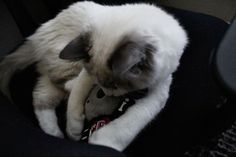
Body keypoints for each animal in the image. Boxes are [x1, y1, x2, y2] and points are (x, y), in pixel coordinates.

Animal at [0, 1, 188, 151]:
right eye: (105, 85)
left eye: (114, 86)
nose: (106, 92)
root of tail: (37, 34)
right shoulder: (87, 73)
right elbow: (76, 99)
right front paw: (74, 131)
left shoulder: (158, 89)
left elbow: (126, 124)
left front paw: (100, 141)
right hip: (69, 62)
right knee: (57, 85)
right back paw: (59, 131)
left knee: (42, 96)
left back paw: (55, 134)